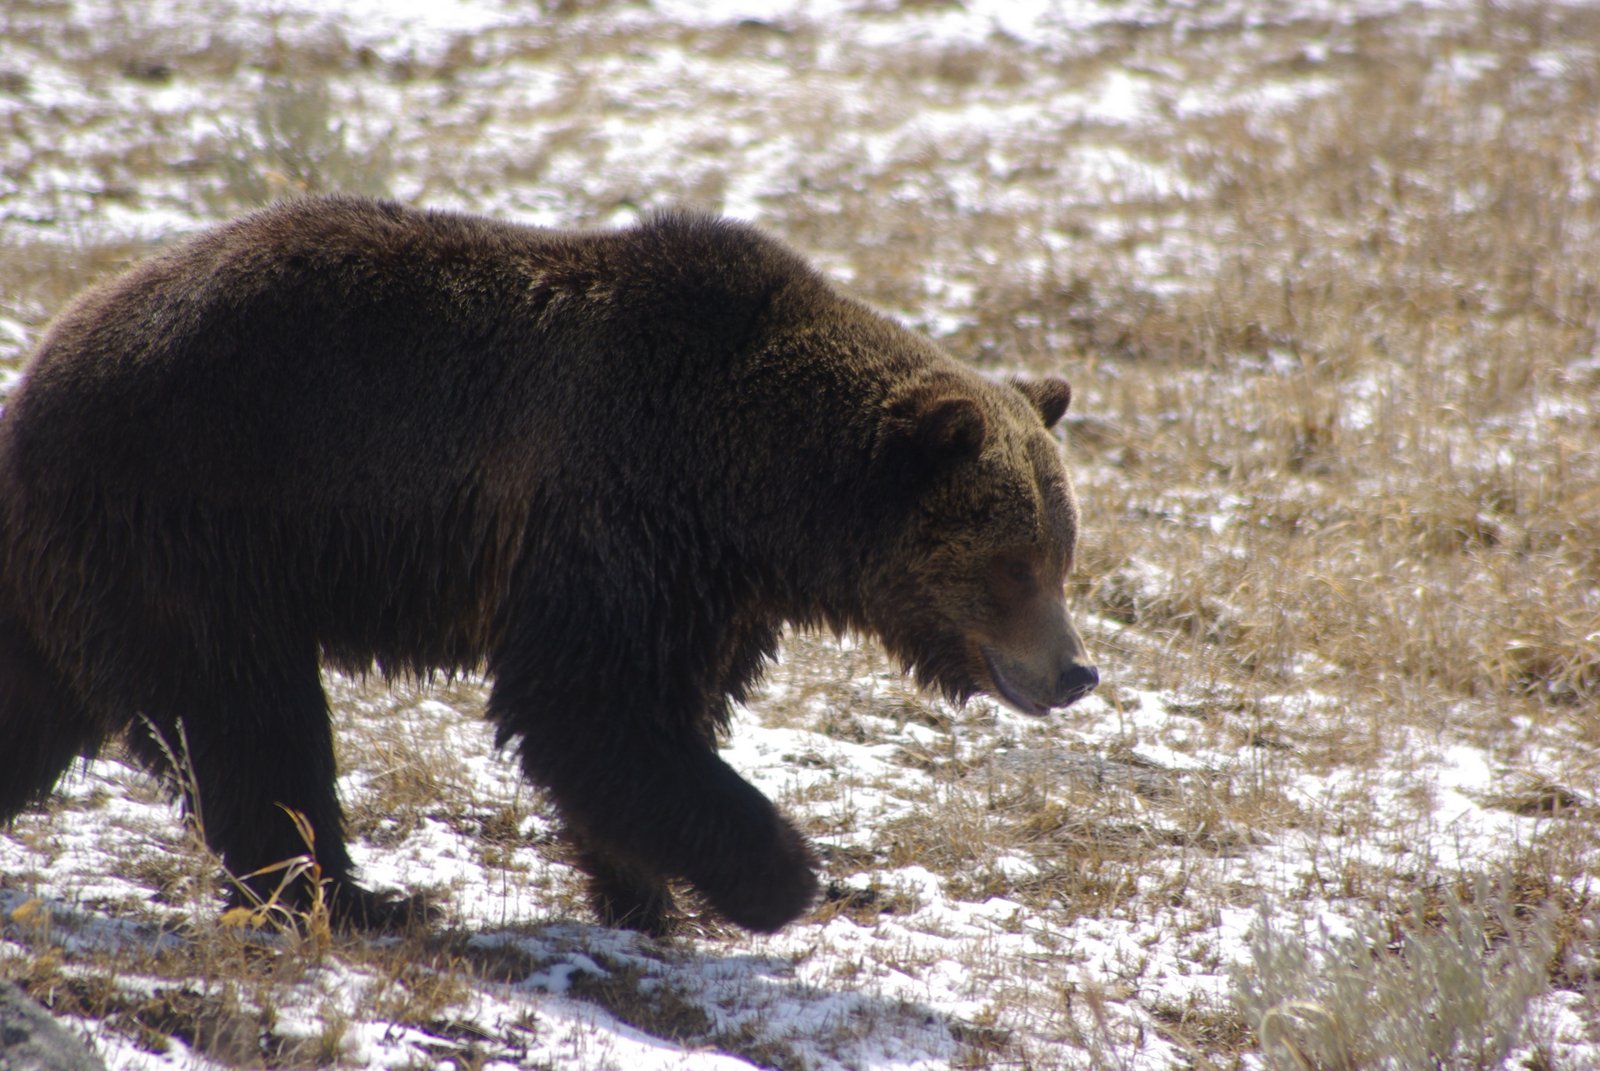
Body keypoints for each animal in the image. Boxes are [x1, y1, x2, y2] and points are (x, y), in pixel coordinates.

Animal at [0, 195, 1097, 935]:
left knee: (51, 704)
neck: (754, 490)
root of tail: (40, 375)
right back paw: (357, 898)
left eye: (1062, 553)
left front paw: (644, 892)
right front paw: (776, 878)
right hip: (198, 517)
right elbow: (585, 704)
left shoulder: (704, 585)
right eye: (1015, 564)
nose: (1075, 670)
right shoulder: (617, 502)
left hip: (88, 574)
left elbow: (646, 721)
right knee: (251, 719)